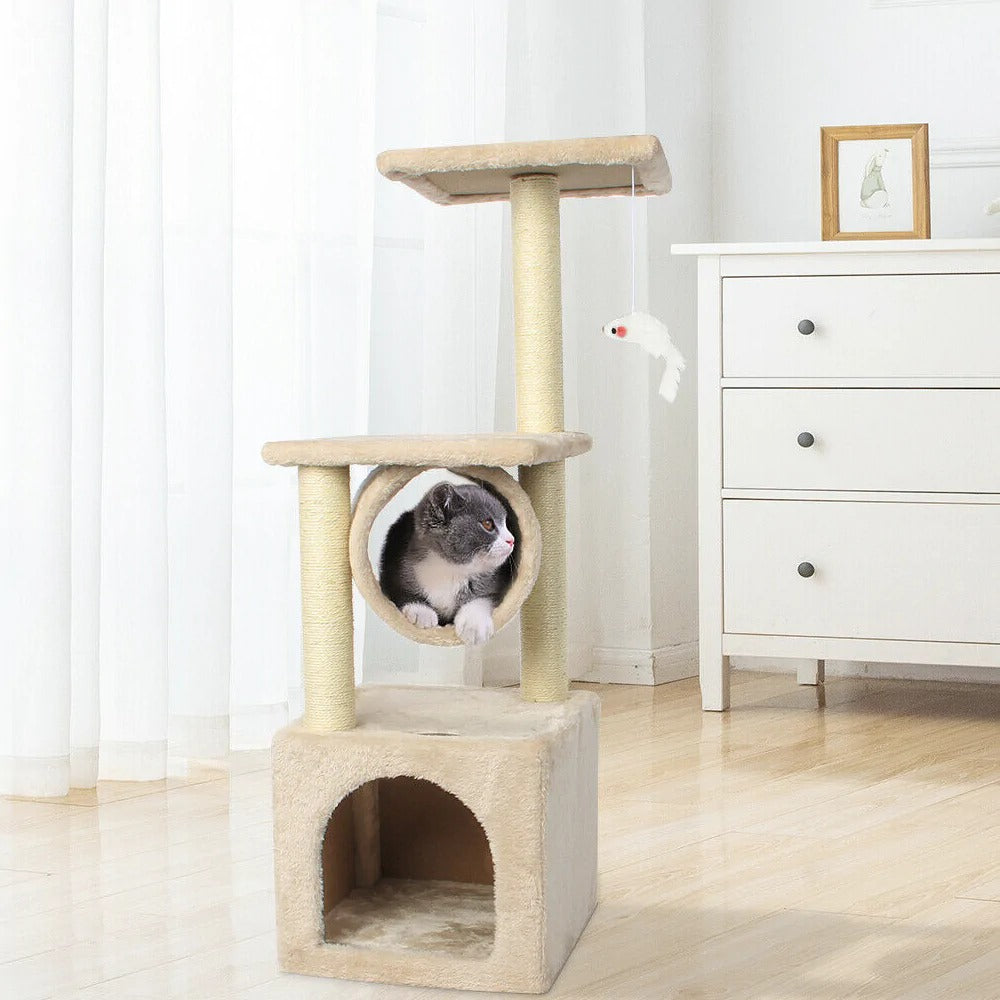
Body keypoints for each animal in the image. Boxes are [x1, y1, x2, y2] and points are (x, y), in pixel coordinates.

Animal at [376, 484, 516, 648]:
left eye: (506, 524)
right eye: (488, 524)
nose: (512, 540)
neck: (451, 570)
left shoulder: (498, 583)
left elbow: (484, 597)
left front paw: (474, 625)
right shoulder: (393, 569)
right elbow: (399, 592)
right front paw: (421, 612)